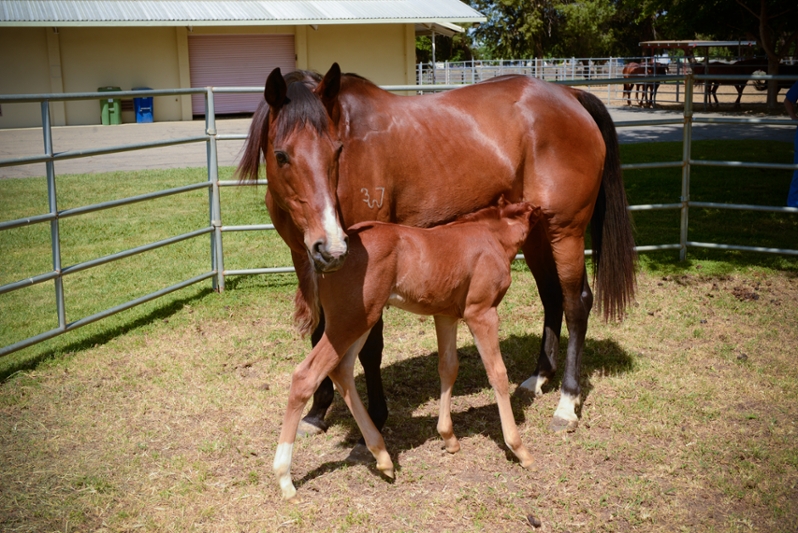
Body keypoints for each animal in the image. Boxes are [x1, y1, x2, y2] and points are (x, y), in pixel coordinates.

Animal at [236, 63, 637, 444]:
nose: (331, 244)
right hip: (537, 232)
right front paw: (317, 413)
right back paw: (538, 378)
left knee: (575, 303)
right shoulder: (307, 261)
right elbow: (322, 334)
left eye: (337, 151)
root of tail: (570, 95)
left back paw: (567, 403)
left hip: (566, 232)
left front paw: (376, 419)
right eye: (281, 155)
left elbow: (371, 345)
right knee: (551, 297)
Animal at [273, 200, 540, 500]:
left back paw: (382, 456)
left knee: (342, 369)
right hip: (348, 322)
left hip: (360, 320)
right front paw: (520, 449)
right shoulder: (481, 313)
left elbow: (448, 367)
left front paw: (448, 437)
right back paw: (285, 478)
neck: (492, 236)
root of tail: (327, 258)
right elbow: (497, 374)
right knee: (306, 375)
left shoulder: (445, 315)